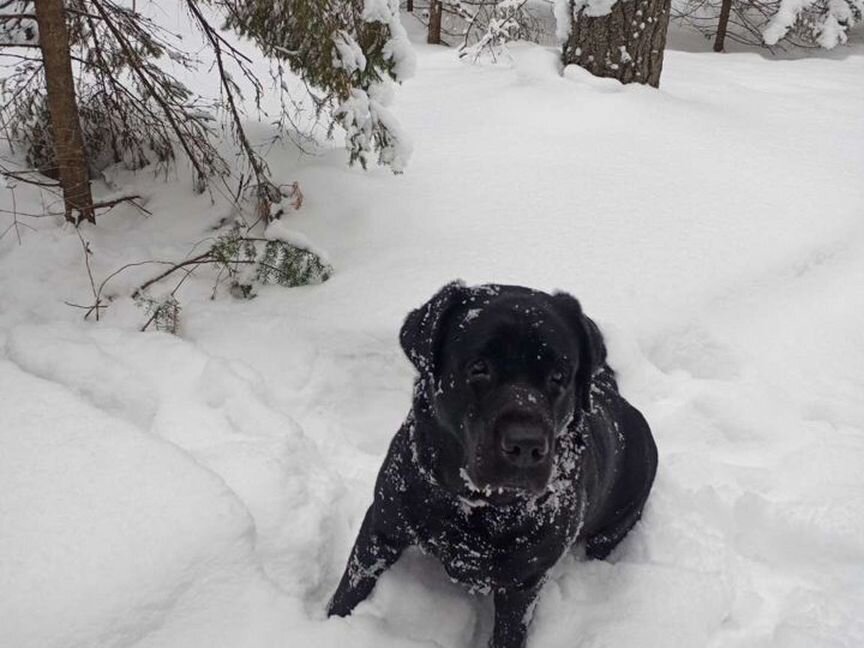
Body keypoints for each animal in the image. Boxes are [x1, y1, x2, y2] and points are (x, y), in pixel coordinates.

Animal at [328, 284, 660, 648]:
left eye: (559, 376)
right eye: (479, 367)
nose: (526, 444)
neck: (477, 509)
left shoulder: (524, 583)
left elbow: (509, 634)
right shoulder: (382, 524)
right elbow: (351, 587)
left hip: (615, 527)